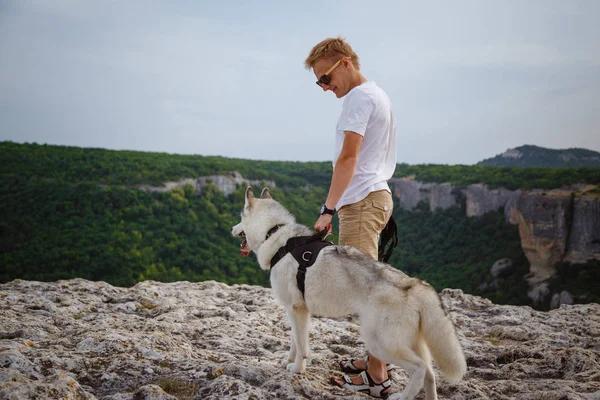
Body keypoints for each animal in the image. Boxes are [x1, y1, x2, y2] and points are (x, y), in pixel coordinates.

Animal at [232, 188, 466, 400]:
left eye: (240, 217)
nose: (232, 228)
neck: (274, 233)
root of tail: (414, 284)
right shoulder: (294, 311)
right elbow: (294, 343)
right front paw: (287, 362)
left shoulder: (298, 310)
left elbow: (301, 347)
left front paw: (297, 369)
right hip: (411, 345)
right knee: (430, 374)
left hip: (380, 343)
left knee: (419, 369)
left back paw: (402, 396)